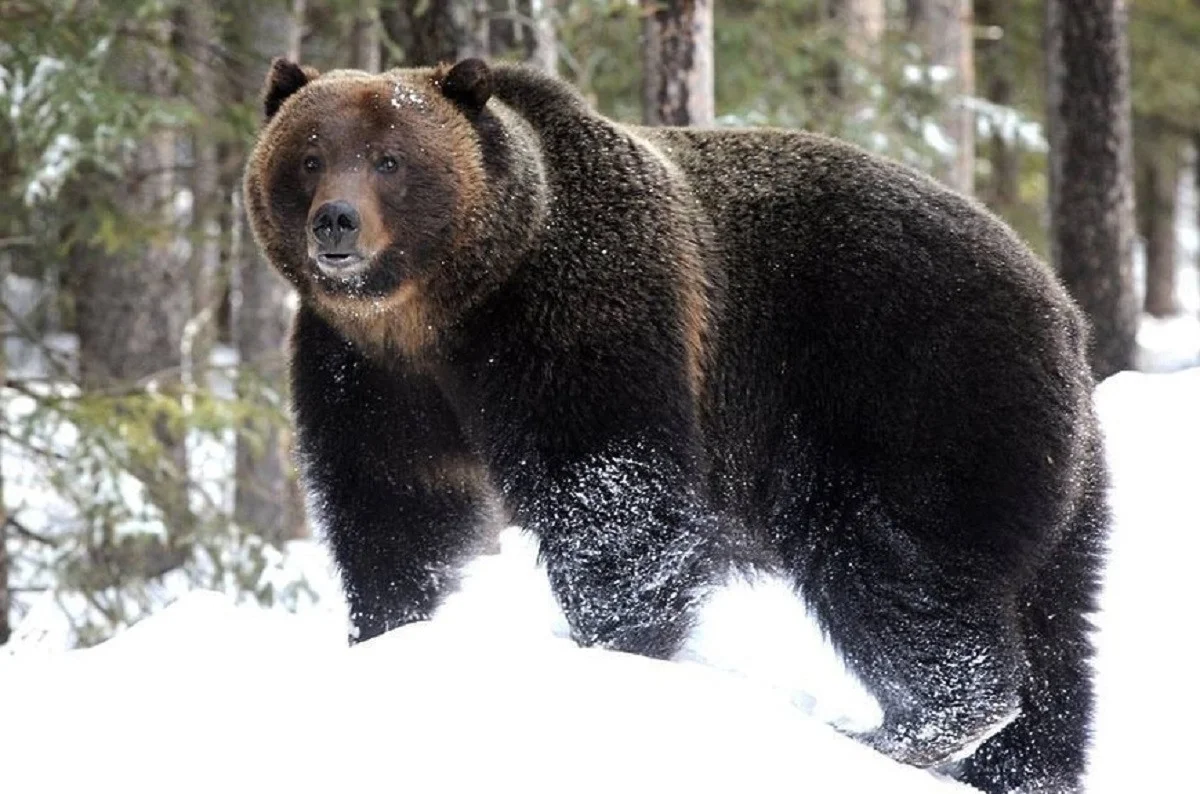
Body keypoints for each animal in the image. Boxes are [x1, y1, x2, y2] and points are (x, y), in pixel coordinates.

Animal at [246, 57, 1113, 794]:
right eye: (310, 156)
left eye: (390, 159)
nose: (337, 223)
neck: (445, 311)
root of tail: (1064, 309)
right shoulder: (367, 377)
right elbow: (394, 511)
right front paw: (384, 633)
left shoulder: (582, 319)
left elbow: (613, 500)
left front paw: (617, 652)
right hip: (1053, 475)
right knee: (1054, 626)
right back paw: (1019, 766)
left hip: (914, 393)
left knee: (895, 560)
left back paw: (903, 729)